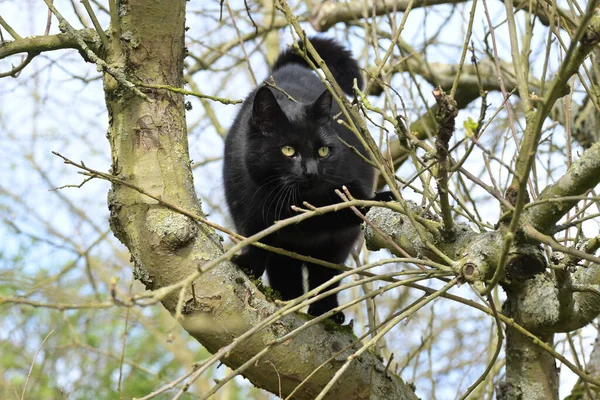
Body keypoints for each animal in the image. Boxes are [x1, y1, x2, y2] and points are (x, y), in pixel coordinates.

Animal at [223, 36, 382, 324]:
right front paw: (248, 267)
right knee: (285, 270)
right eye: (288, 150)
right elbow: (257, 244)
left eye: (323, 151)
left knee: (325, 275)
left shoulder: (339, 210)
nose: (310, 171)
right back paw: (287, 300)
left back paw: (326, 311)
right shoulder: (250, 216)